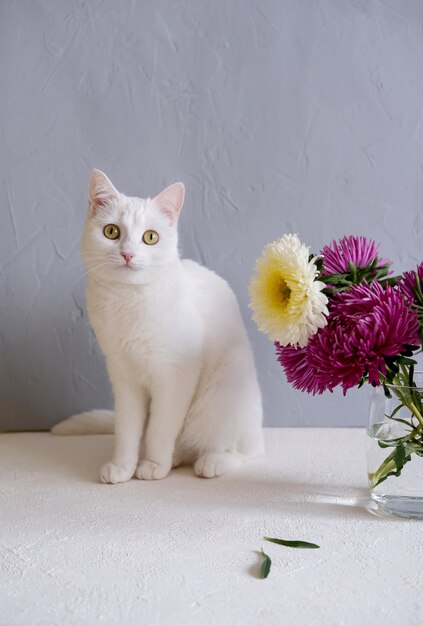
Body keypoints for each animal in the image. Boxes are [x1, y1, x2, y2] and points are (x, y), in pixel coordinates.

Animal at [52, 168, 264, 480]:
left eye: (150, 237)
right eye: (111, 232)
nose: (128, 253)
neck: (128, 300)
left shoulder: (174, 375)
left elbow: (160, 429)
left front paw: (152, 465)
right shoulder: (123, 376)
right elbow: (127, 429)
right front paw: (122, 467)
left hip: (222, 395)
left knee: (244, 450)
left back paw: (211, 461)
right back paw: (174, 459)